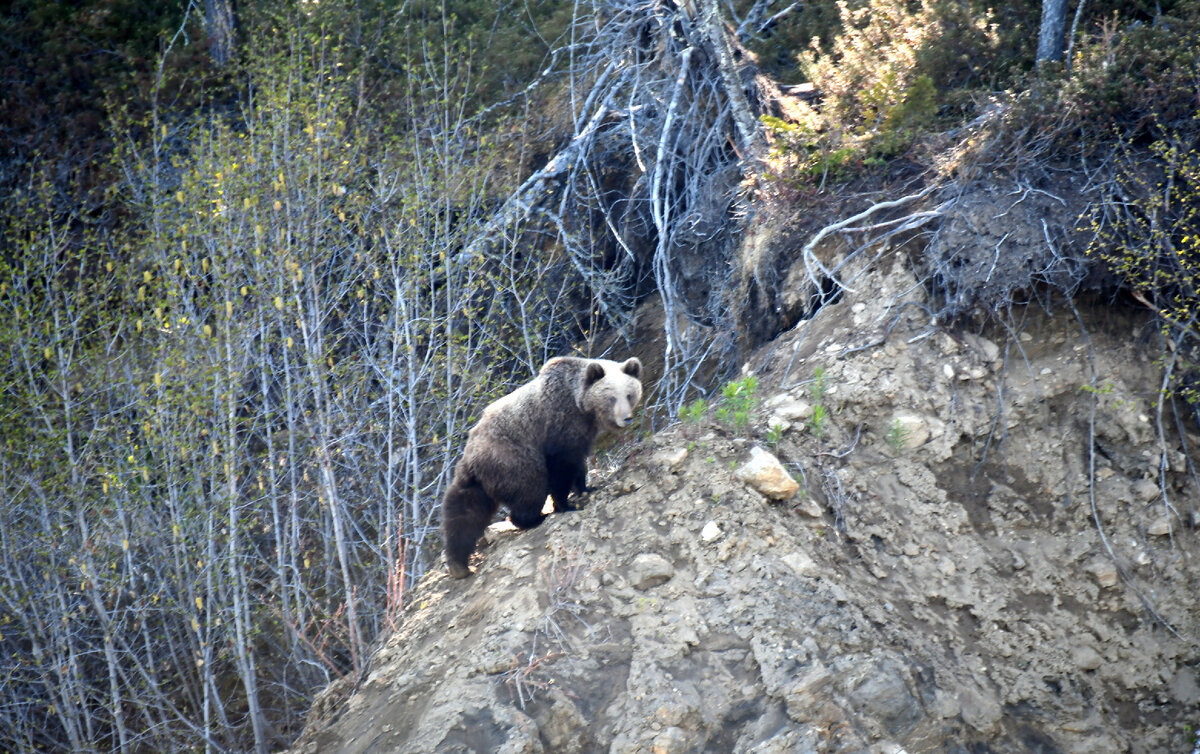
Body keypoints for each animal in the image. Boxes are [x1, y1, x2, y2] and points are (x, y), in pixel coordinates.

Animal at [444, 355, 648, 581]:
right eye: (611, 397)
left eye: (629, 394)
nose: (626, 418)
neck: (581, 406)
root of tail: (472, 456)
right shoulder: (560, 423)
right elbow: (561, 467)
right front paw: (565, 505)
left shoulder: (583, 431)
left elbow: (578, 463)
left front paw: (586, 488)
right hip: (512, 459)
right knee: (530, 488)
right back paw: (535, 518)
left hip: (475, 480)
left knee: (464, 513)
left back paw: (458, 564)